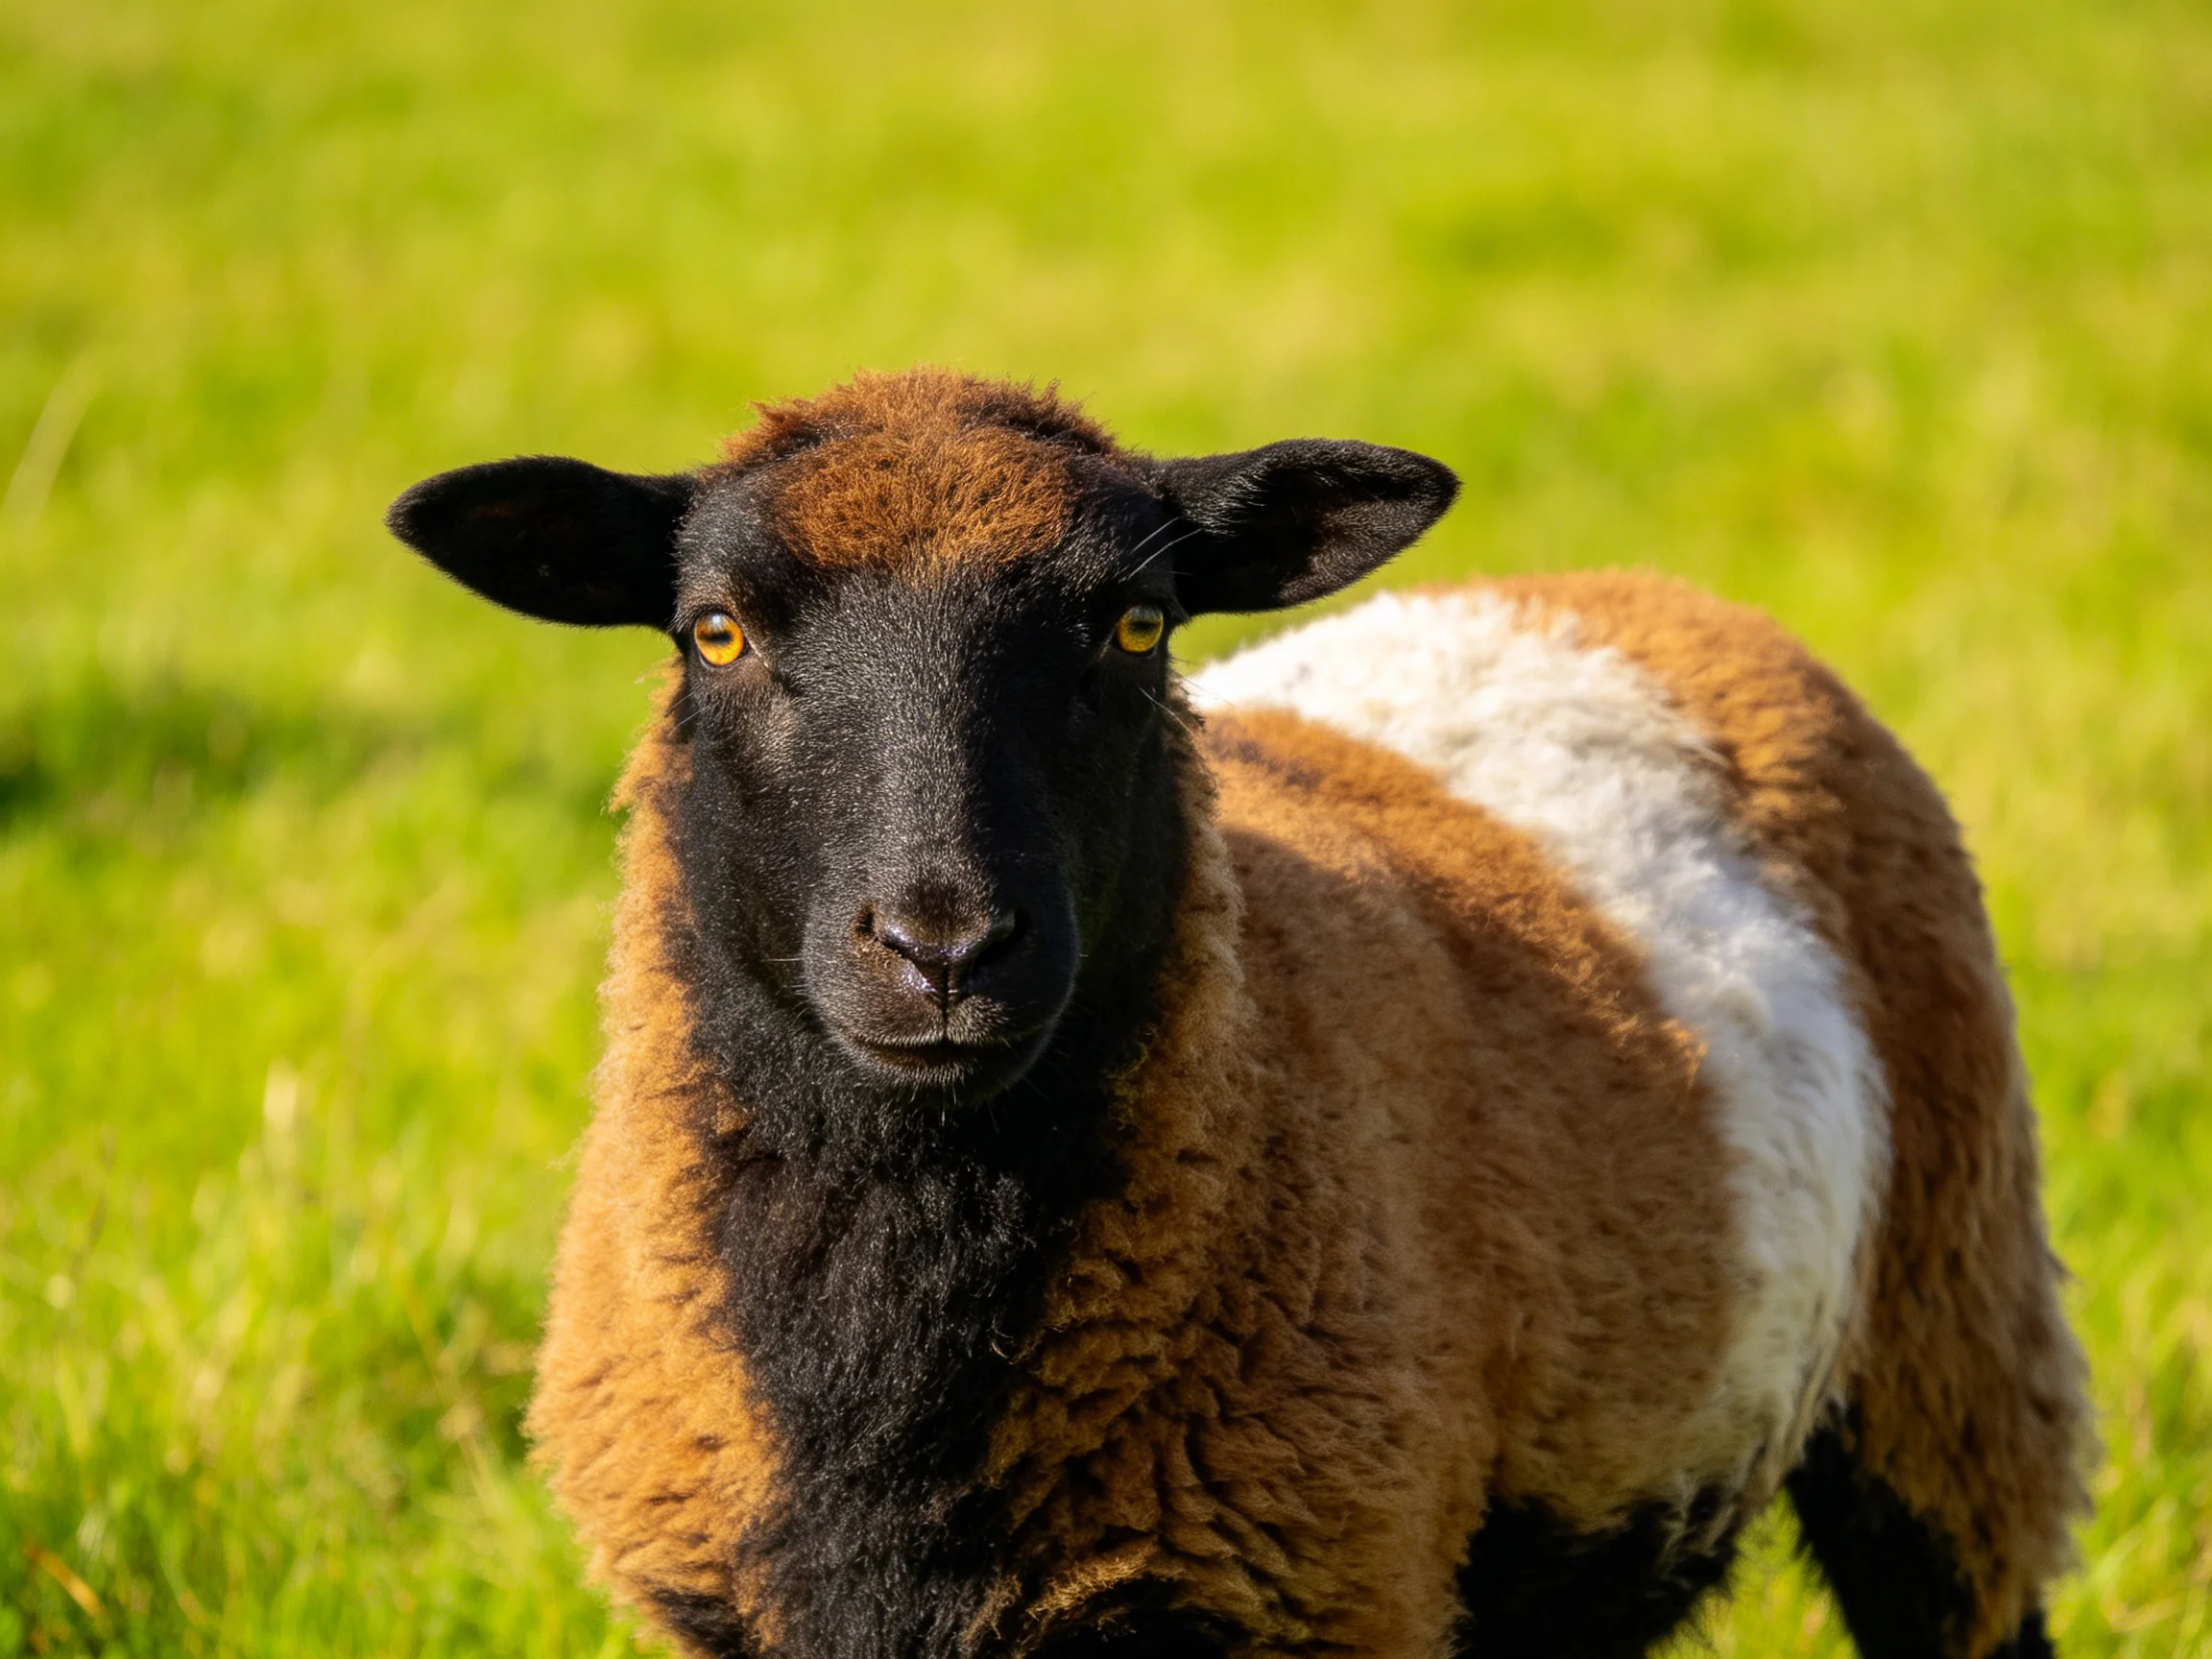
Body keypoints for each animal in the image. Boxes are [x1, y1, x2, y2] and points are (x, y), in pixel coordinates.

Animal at [386, 367, 2090, 1659]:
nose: (944, 946)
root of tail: (1635, 593)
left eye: (1137, 627)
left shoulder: (1319, 1592)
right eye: (718, 630)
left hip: (1949, 1344)